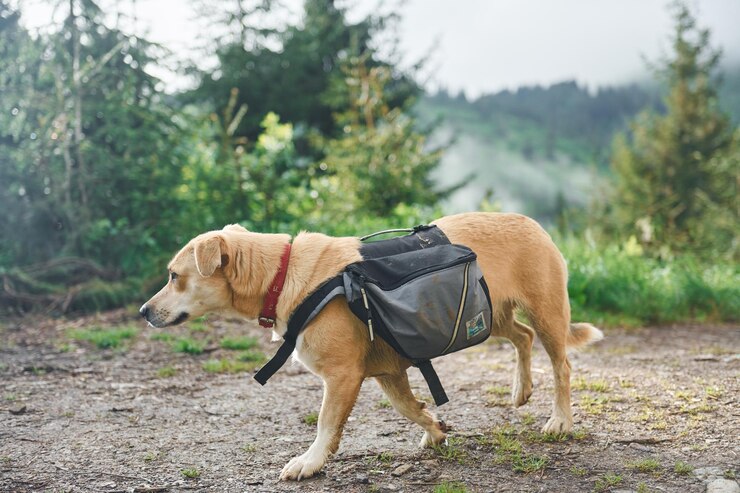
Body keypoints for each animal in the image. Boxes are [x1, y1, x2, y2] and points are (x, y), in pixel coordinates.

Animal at [142, 212, 604, 480]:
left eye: (174, 277)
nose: (144, 311)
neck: (282, 273)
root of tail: (530, 220)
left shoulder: (343, 377)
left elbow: (326, 426)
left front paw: (309, 462)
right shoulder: (388, 371)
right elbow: (408, 408)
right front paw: (435, 429)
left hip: (545, 313)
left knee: (561, 365)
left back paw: (560, 420)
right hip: (490, 317)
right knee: (523, 338)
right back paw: (521, 390)